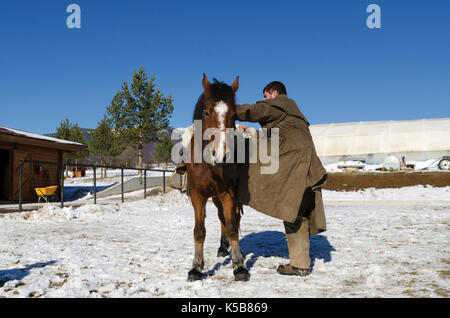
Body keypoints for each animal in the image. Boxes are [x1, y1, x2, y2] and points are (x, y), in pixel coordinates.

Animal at [185, 74, 250, 280]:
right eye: (206, 112)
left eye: (234, 115)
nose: (220, 155)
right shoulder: (197, 196)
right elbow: (199, 231)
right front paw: (196, 267)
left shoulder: (228, 194)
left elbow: (232, 228)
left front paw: (239, 266)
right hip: (214, 198)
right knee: (222, 217)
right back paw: (222, 247)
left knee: (231, 220)